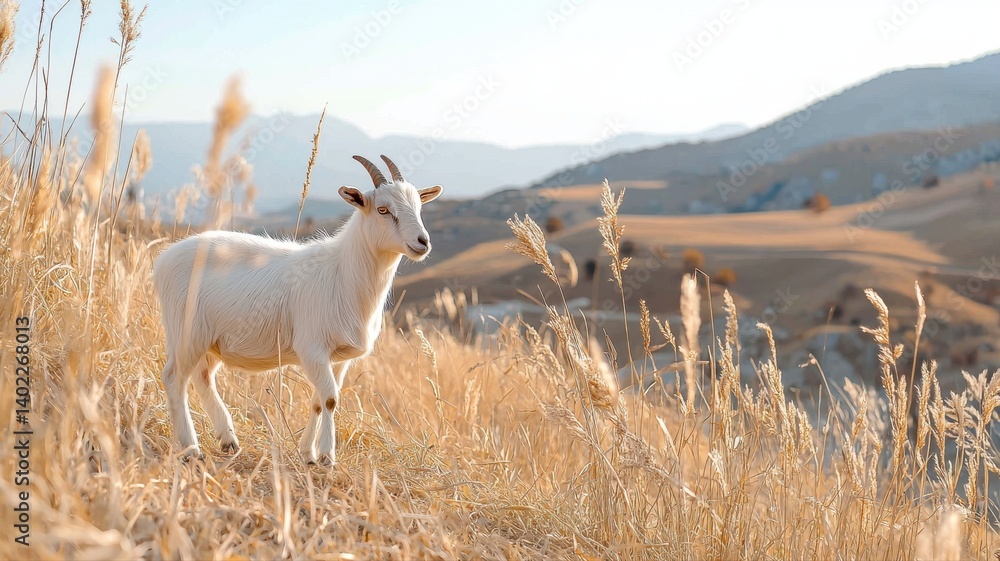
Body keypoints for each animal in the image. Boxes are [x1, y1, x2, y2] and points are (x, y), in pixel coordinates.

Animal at [152, 155, 442, 464]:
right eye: (383, 209)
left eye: (419, 207)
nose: (423, 242)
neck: (343, 273)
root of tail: (163, 260)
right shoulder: (312, 347)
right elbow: (330, 398)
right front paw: (327, 455)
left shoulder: (338, 358)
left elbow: (319, 400)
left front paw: (308, 453)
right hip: (186, 331)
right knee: (174, 378)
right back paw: (190, 448)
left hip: (209, 339)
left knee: (202, 378)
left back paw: (227, 440)